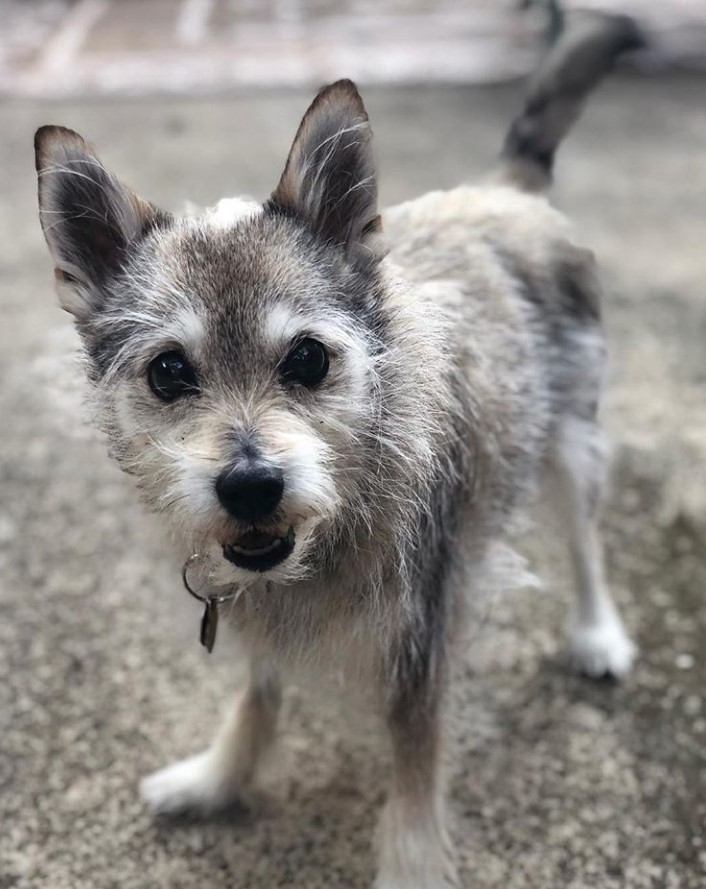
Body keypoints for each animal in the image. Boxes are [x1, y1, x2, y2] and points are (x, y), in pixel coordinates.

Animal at [34, 13, 640, 888]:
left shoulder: (424, 635)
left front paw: (411, 864)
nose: (251, 485)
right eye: (170, 371)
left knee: (585, 540)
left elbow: (415, 766)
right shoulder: (257, 607)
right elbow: (256, 695)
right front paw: (218, 777)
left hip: (571, 437)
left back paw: (598, 633)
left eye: (309, 358)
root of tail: (505, 188)